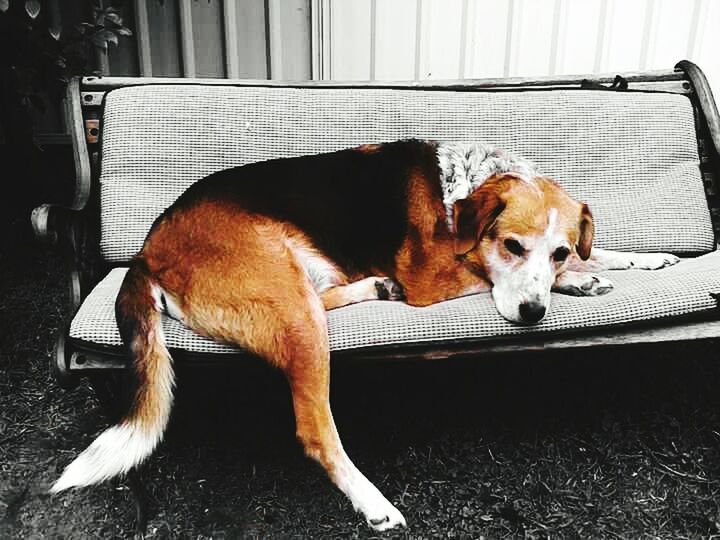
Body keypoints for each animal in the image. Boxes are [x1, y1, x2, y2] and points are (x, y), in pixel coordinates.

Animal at [50, 140, 680, 532]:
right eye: (512, 245)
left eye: (557, 249)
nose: (532, 313)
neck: (459, 193)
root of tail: (144, 252)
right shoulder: (434, 278)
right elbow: (482, 273)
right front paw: (582, 280)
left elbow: (600, 249)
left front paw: (638, 261)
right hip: (295, 314)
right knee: (315, 431)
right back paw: (373, 503)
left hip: (302, 290)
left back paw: (377, 287)